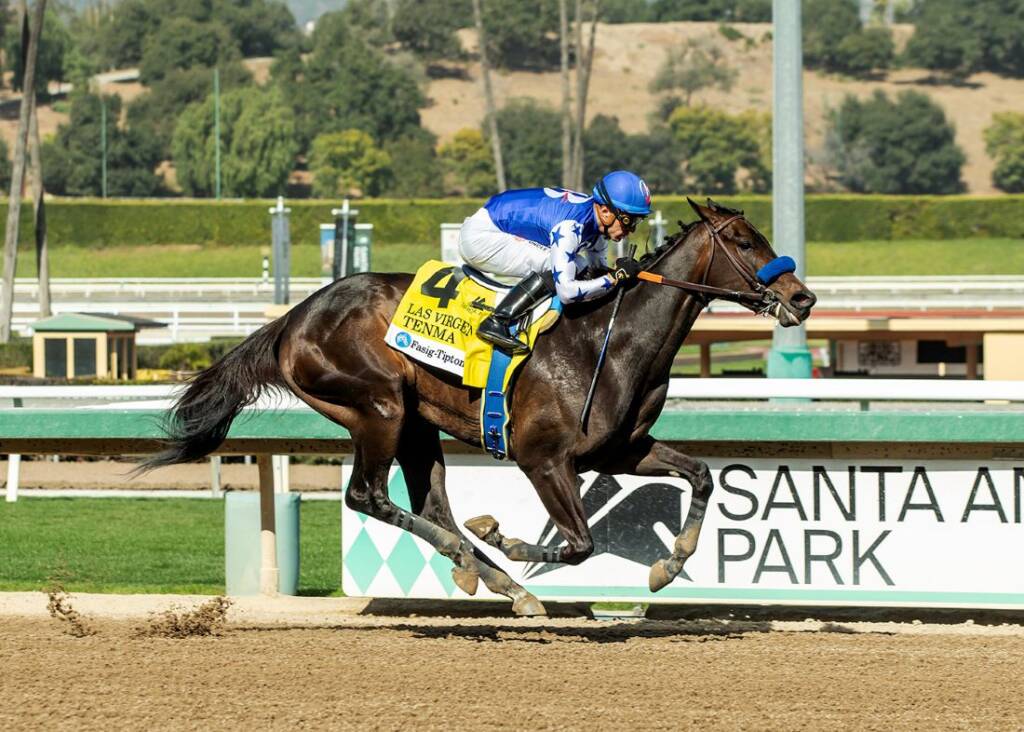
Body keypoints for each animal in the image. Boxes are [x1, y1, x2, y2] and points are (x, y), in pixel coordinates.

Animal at [144, 197, 815, 614]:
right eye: (743, 240)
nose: (802, 298)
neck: (611, 338)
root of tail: (292, 318)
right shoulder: (544, 459)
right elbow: (581, 544)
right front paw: (513, 543)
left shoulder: (620, 450)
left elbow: (700, 476)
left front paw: (667, 566)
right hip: (378, 407)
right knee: (367, 496)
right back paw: (494, 567)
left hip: (416, 424)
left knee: (430, 504)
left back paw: (485, 572)